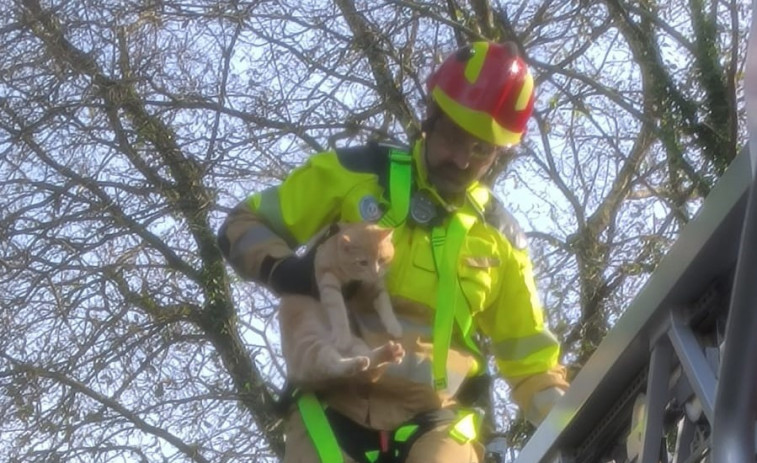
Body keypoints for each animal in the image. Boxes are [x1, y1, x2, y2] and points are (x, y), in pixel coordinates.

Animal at [278, 221, 404, 384]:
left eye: (381, 260)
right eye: (363, 262)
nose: (375, 272)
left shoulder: (376, 285)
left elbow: (385, 303)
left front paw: (394, 326)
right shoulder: (327, 277)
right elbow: (337, 308)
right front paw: (342, 335)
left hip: (356, 343)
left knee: (367, 363)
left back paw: (388, 353)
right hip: (310, 344)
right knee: (329, 365)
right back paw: (355, 361)